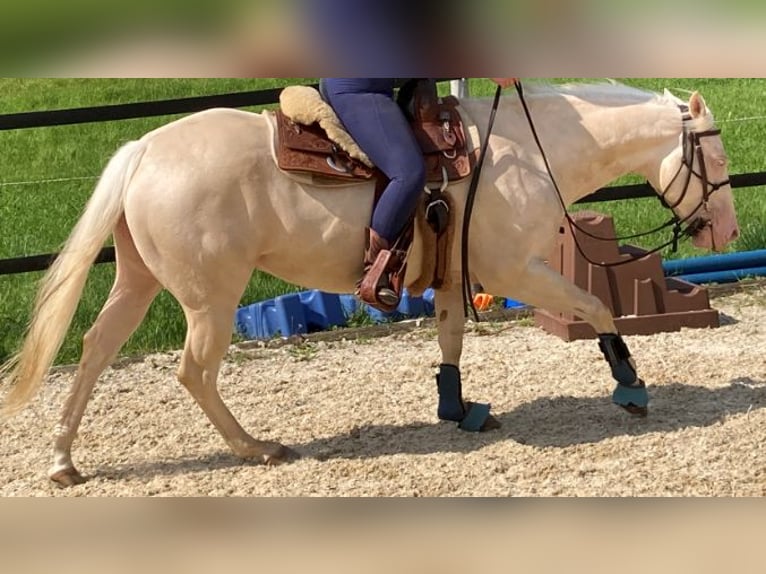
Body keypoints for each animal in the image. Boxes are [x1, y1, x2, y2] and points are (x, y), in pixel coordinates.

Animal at [0, 81, 739, 487]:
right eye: (717, 155)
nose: (728, 231)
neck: (527, 152)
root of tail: (143, 149)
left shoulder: (455, 276)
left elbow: (450, 337)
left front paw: (457, 408)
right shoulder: (515, 270)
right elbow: (593, 307)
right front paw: (631, 386)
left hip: (139, 280)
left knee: (95, 351)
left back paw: (64, 461)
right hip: (210, 296)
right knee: (194, 371)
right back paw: (256, 447)